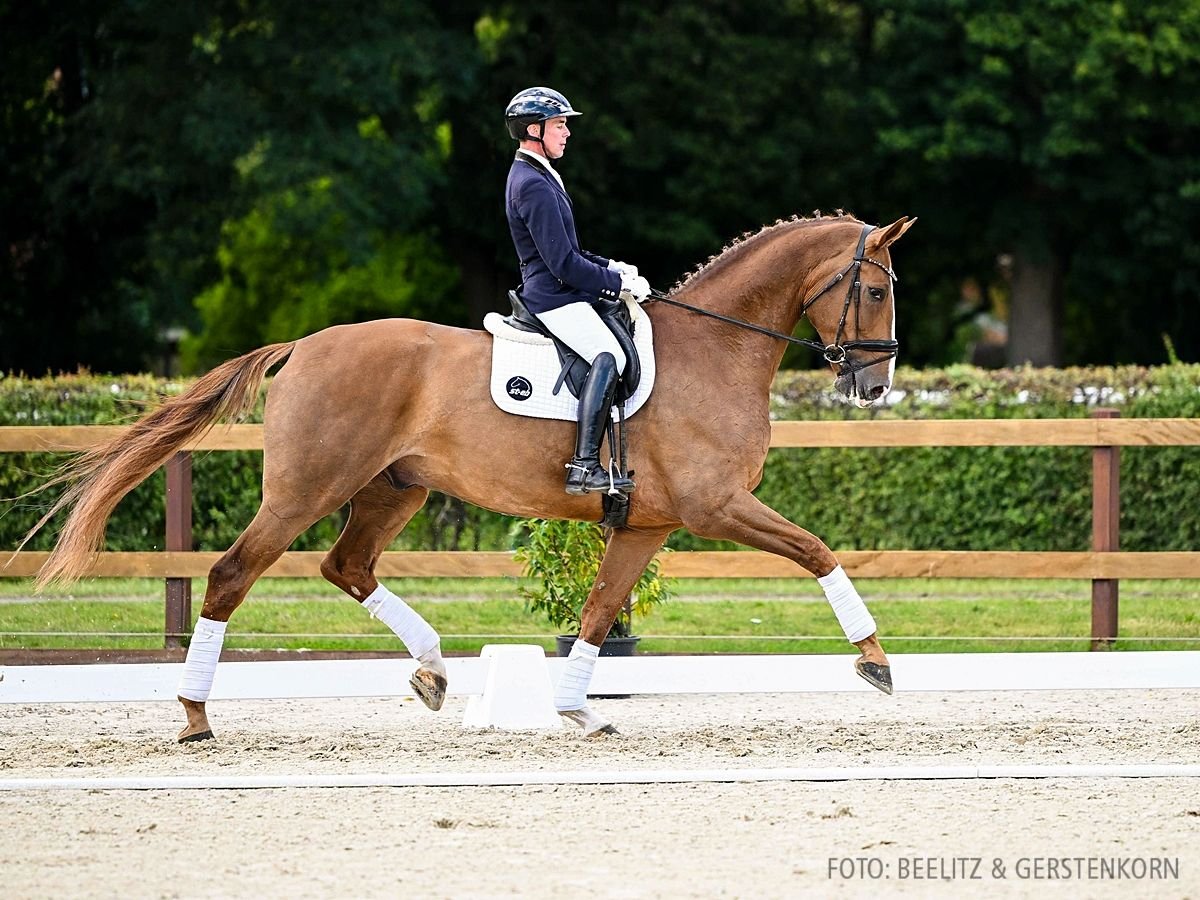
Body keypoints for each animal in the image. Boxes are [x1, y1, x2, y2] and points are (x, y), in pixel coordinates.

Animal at [18, 211, 912, 739]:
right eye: (873, 289)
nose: (875, 387)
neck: (717, 349)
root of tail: (302, 345)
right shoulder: (717, 505)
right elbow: (818, 550)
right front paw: (874, 661)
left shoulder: (651, 522)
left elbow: (599, 609)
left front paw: (575, 708)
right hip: (306, 490)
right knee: (233, 574)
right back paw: (197, 714)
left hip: (395, 489)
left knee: (346, 566)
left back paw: (433, 670)